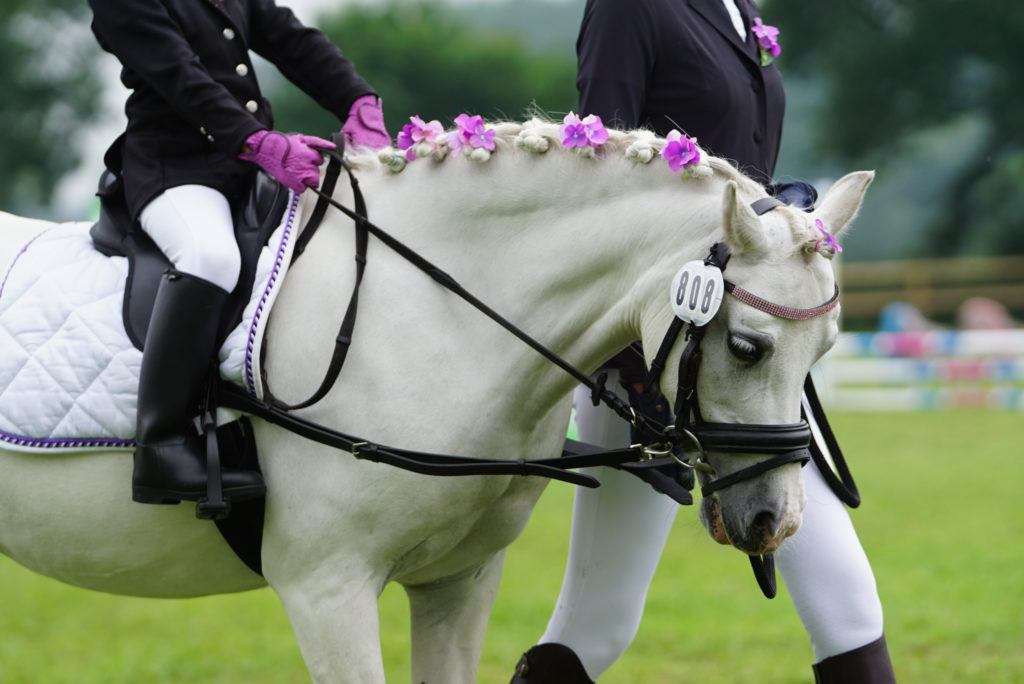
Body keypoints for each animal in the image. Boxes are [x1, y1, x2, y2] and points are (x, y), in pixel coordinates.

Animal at [0, 120, 872, 679]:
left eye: (827, 349)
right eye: (747, 347)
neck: (428, 311)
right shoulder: (326, 588)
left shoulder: (461, 579)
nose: (776, 520)